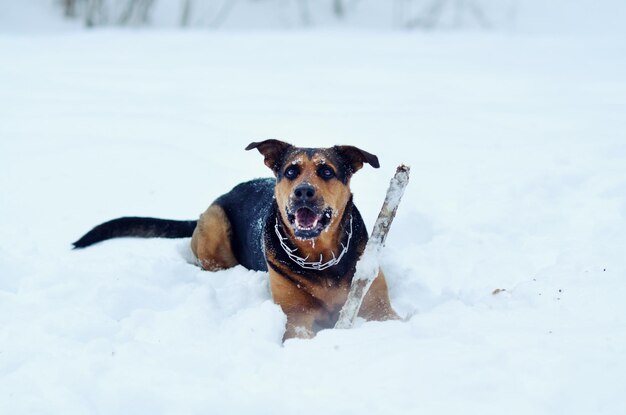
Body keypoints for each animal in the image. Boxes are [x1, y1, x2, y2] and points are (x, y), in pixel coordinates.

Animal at [73, 141, 394, 342]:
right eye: (291, 171)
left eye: (327, 171)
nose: (303, 191)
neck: (321, 258)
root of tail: (225, 194)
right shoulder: (296, 317)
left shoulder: (378, 307)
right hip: (216, 222)